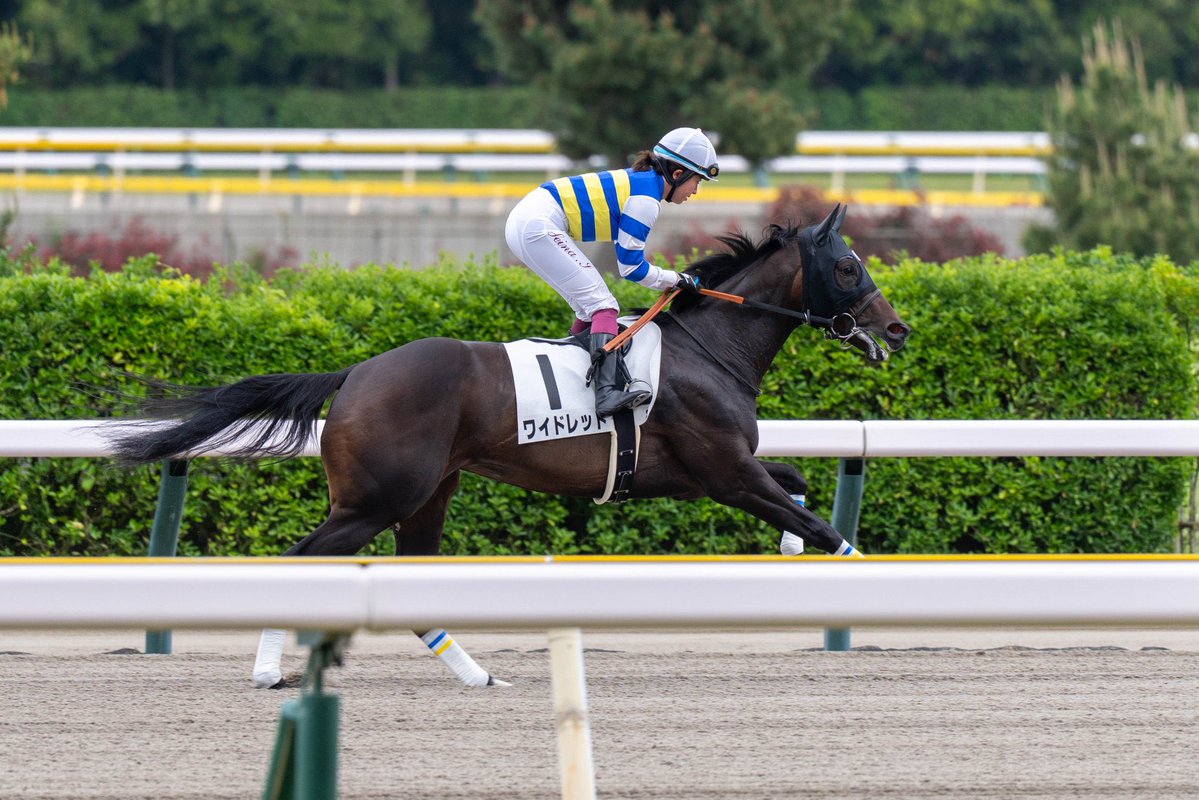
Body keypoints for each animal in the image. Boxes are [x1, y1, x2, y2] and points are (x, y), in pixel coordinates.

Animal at [107, 203, 910, 687]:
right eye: (848, 266)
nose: (897, 329)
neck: (706, 348)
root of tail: (355, 373)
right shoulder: (726, 471)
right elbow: (821, 524)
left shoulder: (714, 472)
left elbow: (797, 487)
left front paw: (792, 554)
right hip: (375, 500)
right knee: (301, 560)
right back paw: (271, 669)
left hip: (427, 494)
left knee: (411, 576)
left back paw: (476, 674)